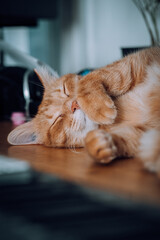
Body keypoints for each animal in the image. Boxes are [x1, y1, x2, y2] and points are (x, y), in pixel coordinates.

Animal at [7, 47, 160, 174]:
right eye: (57, 119)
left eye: (65, 91)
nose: (75, 104)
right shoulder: (143, 132)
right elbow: (130, 140)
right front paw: (100, 143)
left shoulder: (139, 59)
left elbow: (97, 76)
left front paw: (98, 106)